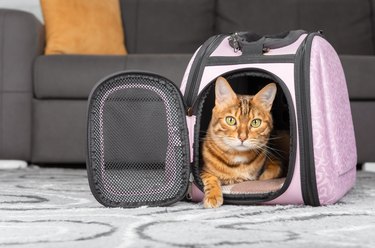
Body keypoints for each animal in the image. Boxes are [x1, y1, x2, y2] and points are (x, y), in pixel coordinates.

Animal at [201, 76, 284, 208]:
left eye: (256, 122)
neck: (238, 157)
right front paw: (213, 196)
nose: (242, 137)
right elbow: (211, 177)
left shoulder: (274, 159)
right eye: (230, 120)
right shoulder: (202, 170)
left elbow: (271, 170)